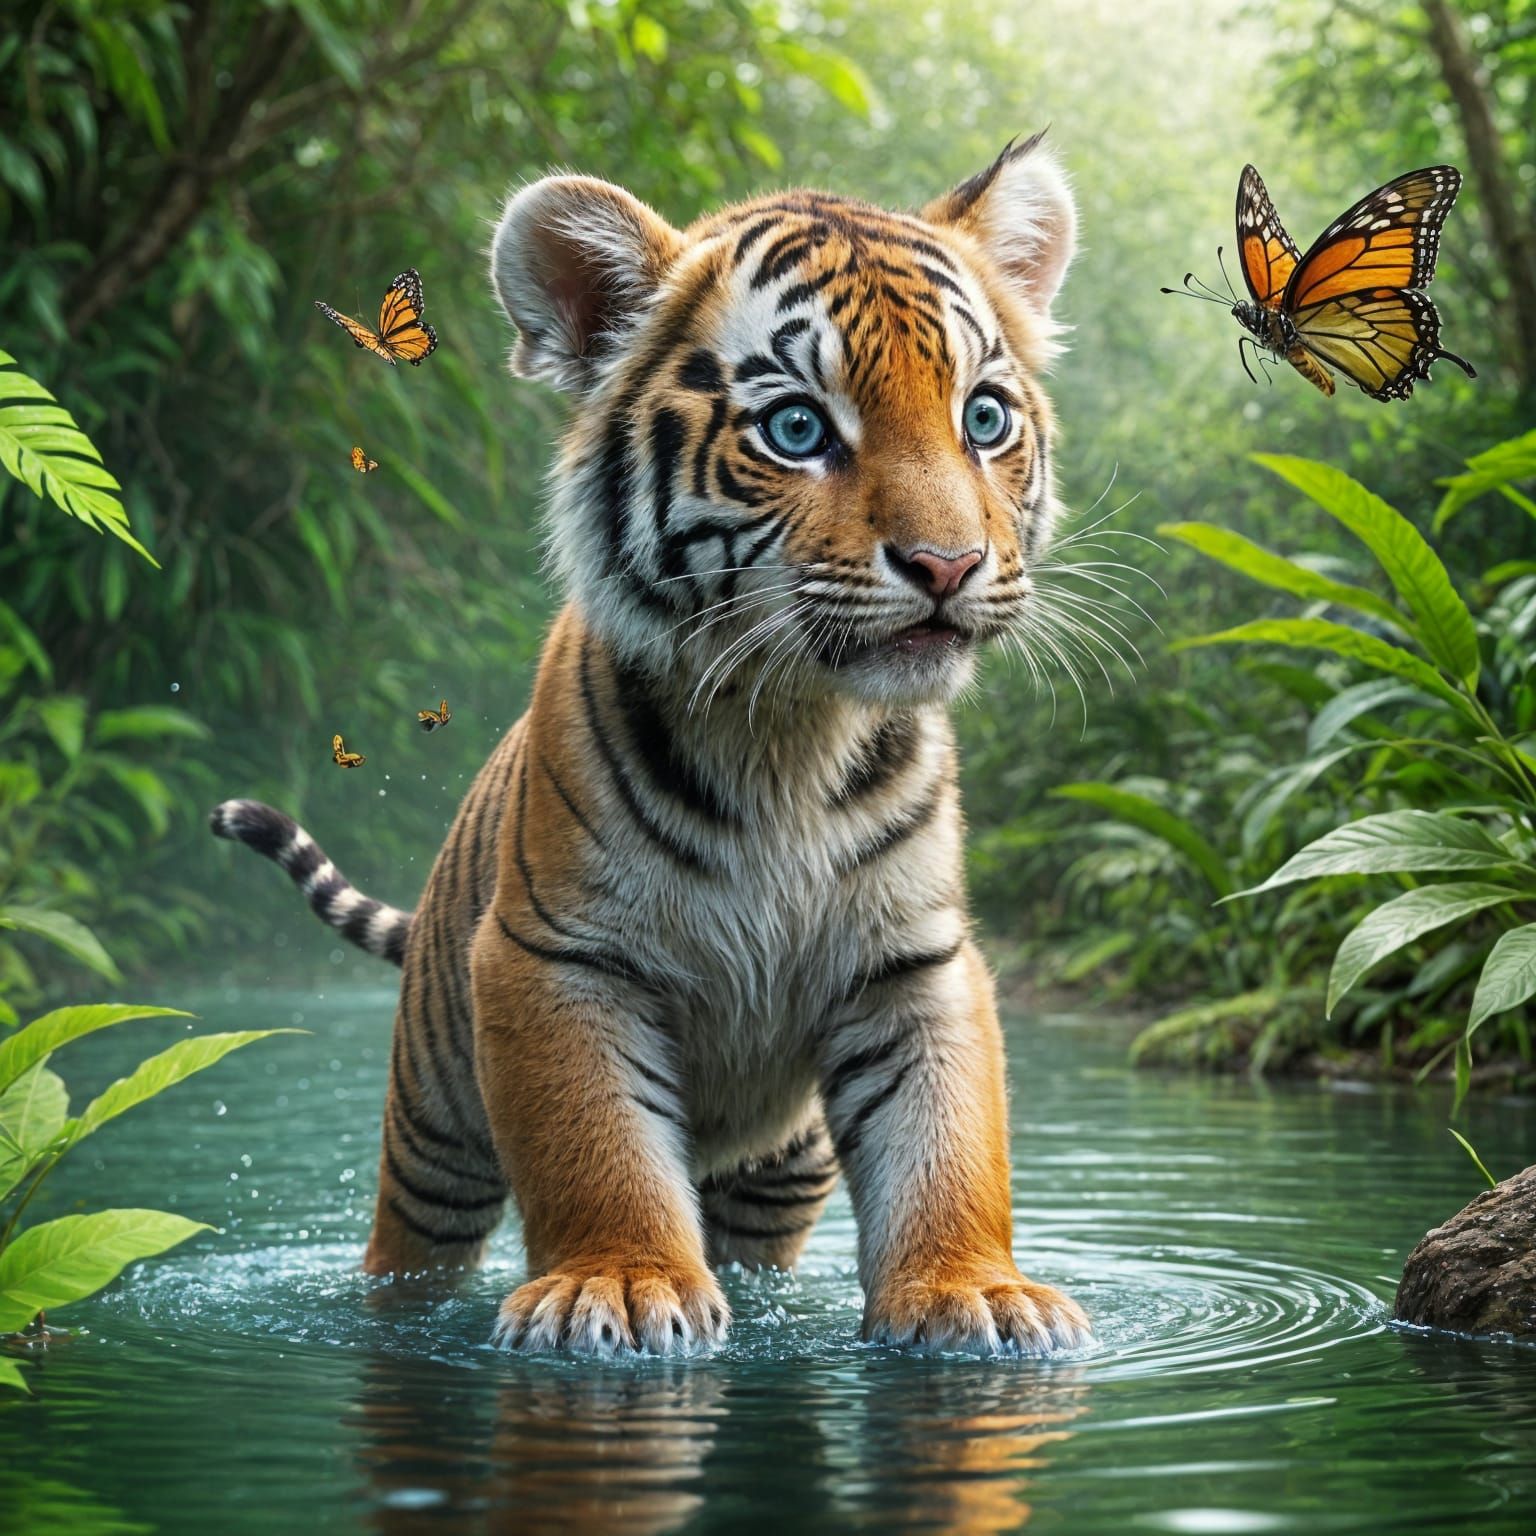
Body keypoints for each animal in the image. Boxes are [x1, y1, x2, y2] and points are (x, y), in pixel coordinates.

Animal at [211, 131, 1092, 1357]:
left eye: (985, 419)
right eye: (797, 429)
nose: (949, 565)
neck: (790, 731)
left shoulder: (913, 966)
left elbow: (949, 1145)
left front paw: (977, 1292)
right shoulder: (558, 959)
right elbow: (598, 1150)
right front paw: (620, 1288)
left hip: (780, 1171)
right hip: (433, 1135)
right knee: (407, 1255)